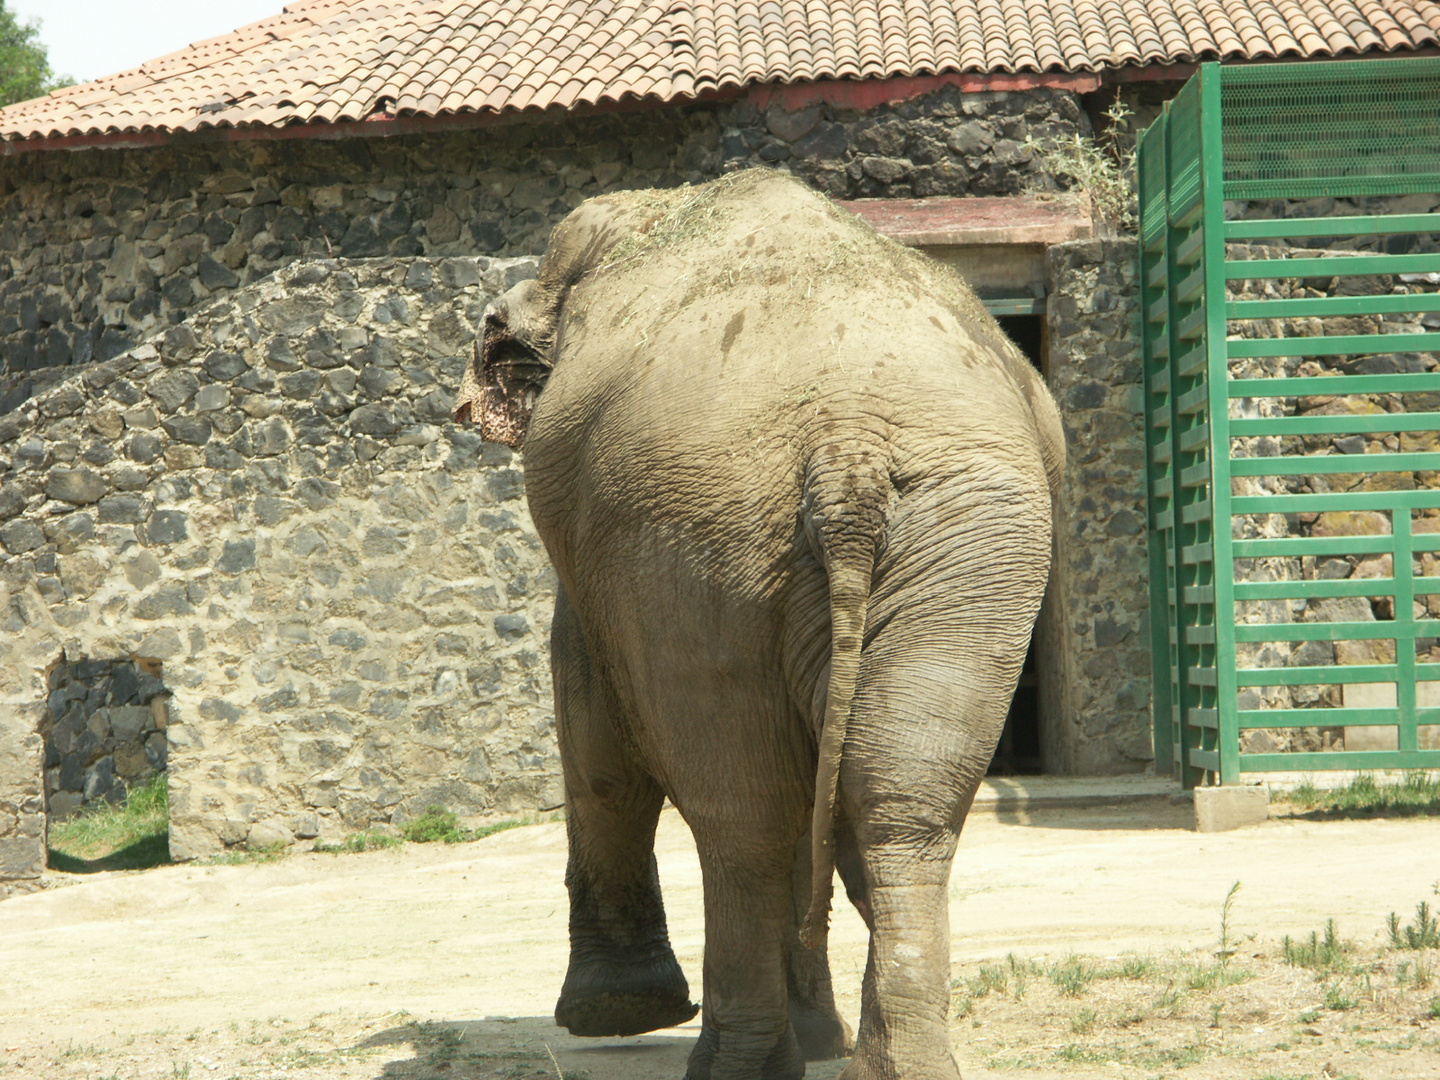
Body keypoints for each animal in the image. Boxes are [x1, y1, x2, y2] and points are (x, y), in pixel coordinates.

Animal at [455, 171, 1065, 1080]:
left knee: (743, 814)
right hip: (963, 540)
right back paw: (887, 1061)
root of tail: (847, 443)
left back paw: (737, 1062)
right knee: (899, 794)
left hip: (693, 531)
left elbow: (590, 716)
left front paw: (614, 1015)